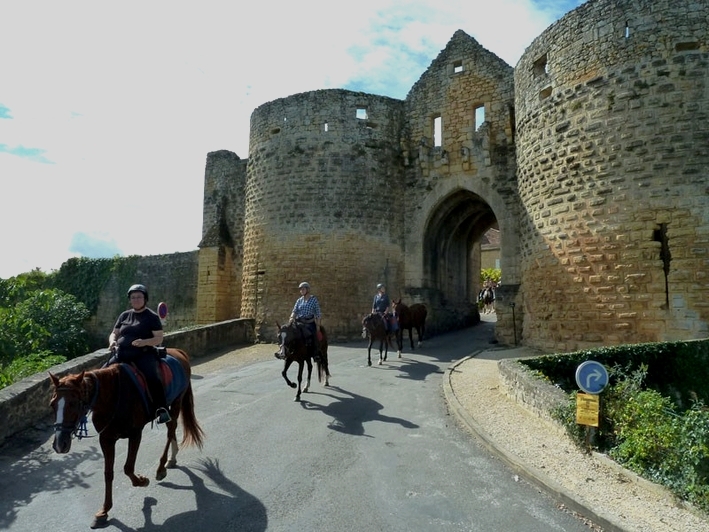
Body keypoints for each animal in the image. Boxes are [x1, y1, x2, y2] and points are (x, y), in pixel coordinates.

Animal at [49, 350, 205, 528]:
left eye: (73, 403)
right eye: (52, 404)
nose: (59, 444)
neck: (112, 397)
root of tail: (179, 352)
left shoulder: (135, 433)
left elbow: (128, 468)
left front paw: (142, 481)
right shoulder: (106, 439)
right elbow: (108, 474)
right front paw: (104, 511)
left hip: (177, 400)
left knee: (171, 430)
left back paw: (161, 468)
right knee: (171, 429)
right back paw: (172, 459)